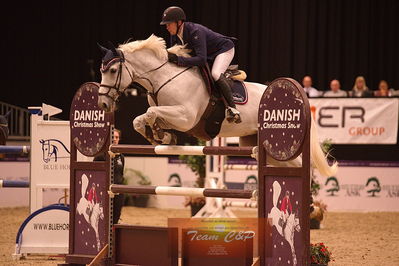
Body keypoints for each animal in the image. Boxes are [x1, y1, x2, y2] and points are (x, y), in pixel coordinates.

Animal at [97, 34, 338, 177]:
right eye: (101, 70)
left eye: (112, 70)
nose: (102, 103)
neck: (163, 77)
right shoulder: (173, 116)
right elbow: (140, 119)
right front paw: (160, 135)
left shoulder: (185, 118)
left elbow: (150, 112)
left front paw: (158, 134)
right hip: (257, 145)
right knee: (291, 165)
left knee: (301, 165)